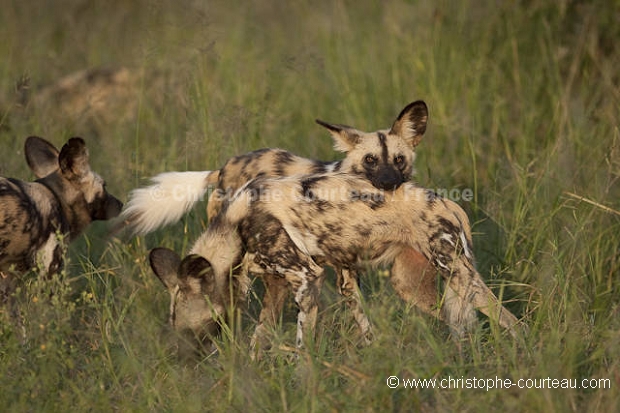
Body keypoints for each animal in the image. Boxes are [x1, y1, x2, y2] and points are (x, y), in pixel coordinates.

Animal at [122, 99, 436, 342]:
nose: (389, 183)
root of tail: (221, 168)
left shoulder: (343, 274)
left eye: (398, 160)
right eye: (370, 160)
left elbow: (361, 320)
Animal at [150, 172, 524, 352]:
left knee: (511, 321)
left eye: (198, 330)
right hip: (412, 288)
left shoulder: (307, 278)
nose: (182, 361)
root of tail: (449, 203)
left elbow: (302, 351)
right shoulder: (276, 288)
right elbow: (259, 339)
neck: (234, 226)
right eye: (178, 331)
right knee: (457, 323)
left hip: (461, 277)